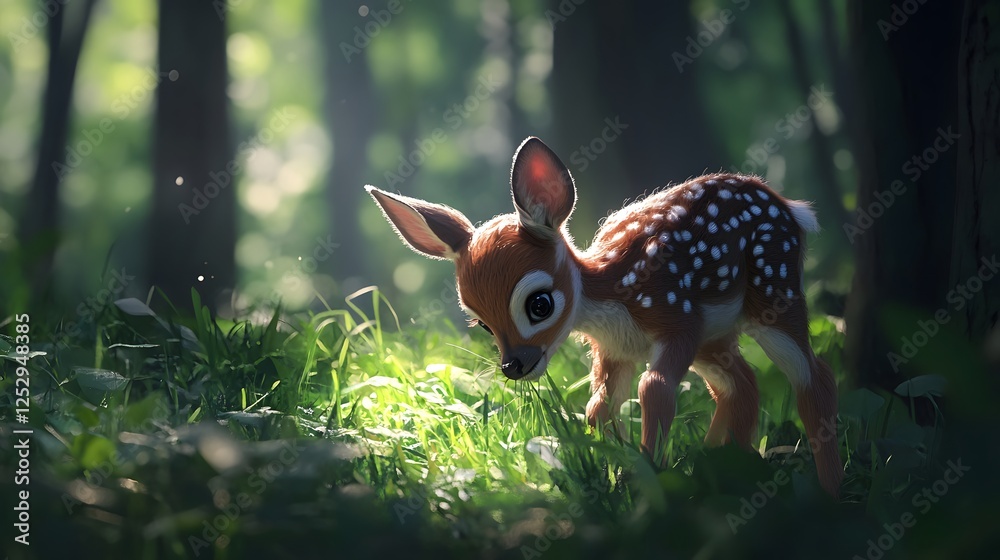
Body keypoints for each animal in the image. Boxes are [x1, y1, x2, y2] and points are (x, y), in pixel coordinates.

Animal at [366, 137, 842, 497]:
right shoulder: (615, 350)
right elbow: (598, 407)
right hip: (717, 339)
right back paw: (726, 468)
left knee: (814, 374)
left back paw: (831, 492)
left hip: (774, 292)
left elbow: (655, 388)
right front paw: (617, 473)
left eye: (539, 304)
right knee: (742, 384)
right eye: (481, 322)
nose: (513, 366)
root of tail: (791, 207)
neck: (611, 297)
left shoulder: (678, 319)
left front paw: (651, 479)